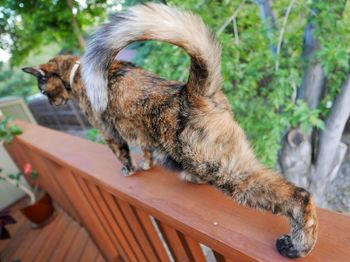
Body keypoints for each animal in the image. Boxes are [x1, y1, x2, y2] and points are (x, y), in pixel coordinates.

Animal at [22, 3, 318, 258]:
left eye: (42, 89)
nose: (50, 102)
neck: (76, 74)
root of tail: (193, 91)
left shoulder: (108, 131)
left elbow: (122, 153)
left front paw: (129, 170)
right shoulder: (142, 135)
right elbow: (146, 152)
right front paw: (146, 166)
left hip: (220, 168)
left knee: (298, 195)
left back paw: (298, 246)